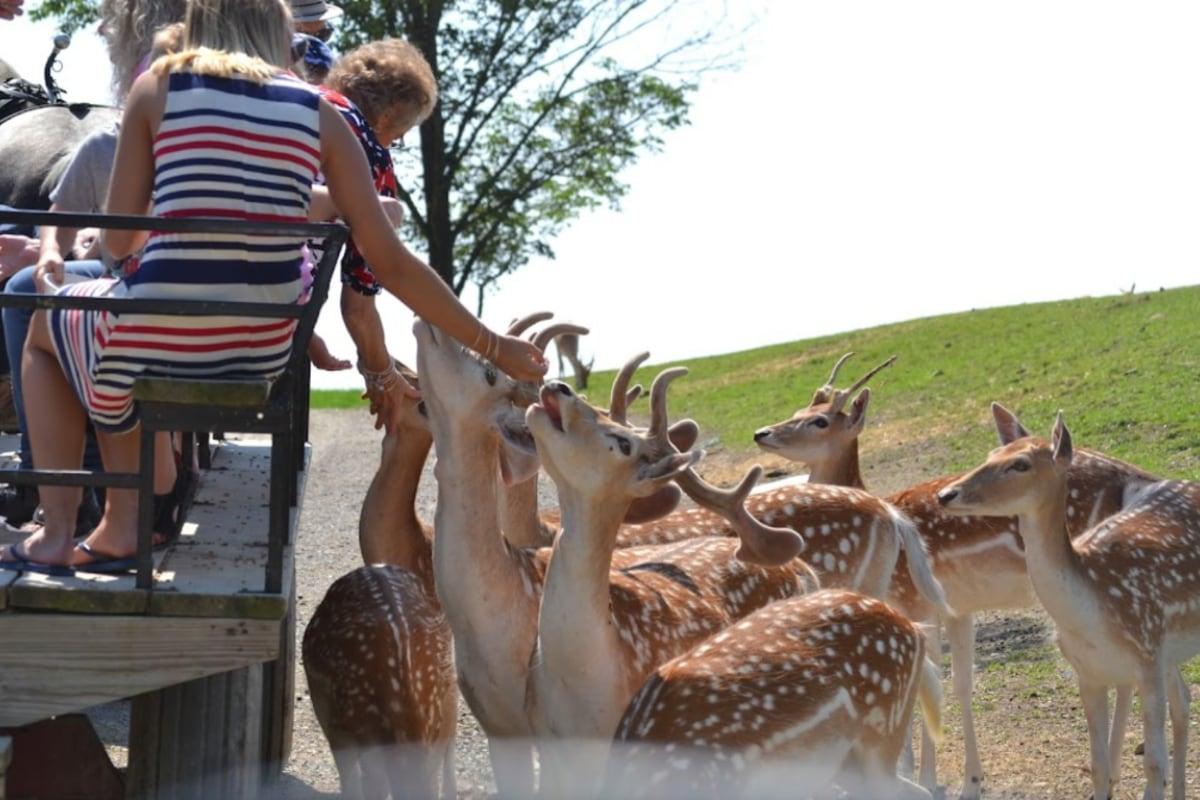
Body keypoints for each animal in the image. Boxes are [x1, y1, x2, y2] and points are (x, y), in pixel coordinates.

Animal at [753, 352, 1156, 796]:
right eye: (798, 411)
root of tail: (1137, 477)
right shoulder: (958, 609)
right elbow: (961, 683)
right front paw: (970, 781)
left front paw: (926, 778)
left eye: (821, 421)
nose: (762, 433)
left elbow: (929, 682)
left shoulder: (916, 601)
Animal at [940, 412, 1195, 800]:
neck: (1091, 610)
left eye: (1021, 464)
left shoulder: (1147, 656)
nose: (945, 494)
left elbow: (1153, 765)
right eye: (991, 454)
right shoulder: (1088, 673)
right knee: (1183, 698)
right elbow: (1098, 767)